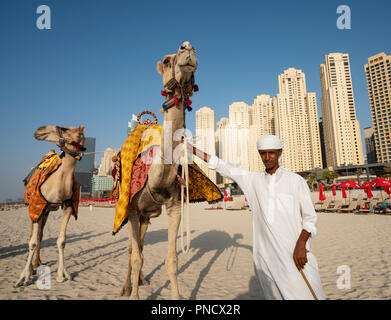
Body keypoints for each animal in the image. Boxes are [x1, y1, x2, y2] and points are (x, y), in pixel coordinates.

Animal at [15, 125, 86, 288]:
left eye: (65, 129)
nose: (40, 130)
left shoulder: (67, 207)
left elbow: (61, 241)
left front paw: (62, 274)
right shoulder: (37, 206)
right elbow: (32, 242)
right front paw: (23, 278)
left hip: (46, 210)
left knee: (40, 235)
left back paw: (37, 264)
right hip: (35, 208)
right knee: (32, 236)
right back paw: (31, 268)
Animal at [114, 41, 224, 298]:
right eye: (165, 60)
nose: (188, 48)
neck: (156, 178)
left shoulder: (175, 205)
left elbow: (172, 261)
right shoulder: (131, 208)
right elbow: (135, 257)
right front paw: (132, 294)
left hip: (146, 215)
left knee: (141, 244)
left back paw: (142, 280)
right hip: (130, 210)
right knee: (131, 250)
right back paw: (126, 286)